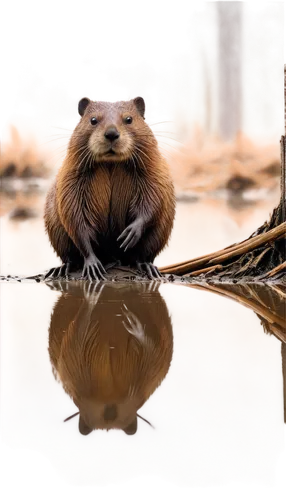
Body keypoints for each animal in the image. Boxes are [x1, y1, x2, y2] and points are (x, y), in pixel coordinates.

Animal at [44, 95, 177, 280]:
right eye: (93, 120)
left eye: (129, 119)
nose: (112, 134)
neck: (111, 164)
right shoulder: (70, 180)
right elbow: (75, 220)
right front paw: (93, 265)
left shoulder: (153, 173)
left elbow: (153, 201)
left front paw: (129, 235)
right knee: (70, 257)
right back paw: (61, 269)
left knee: (141, 255)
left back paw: (147, 267)